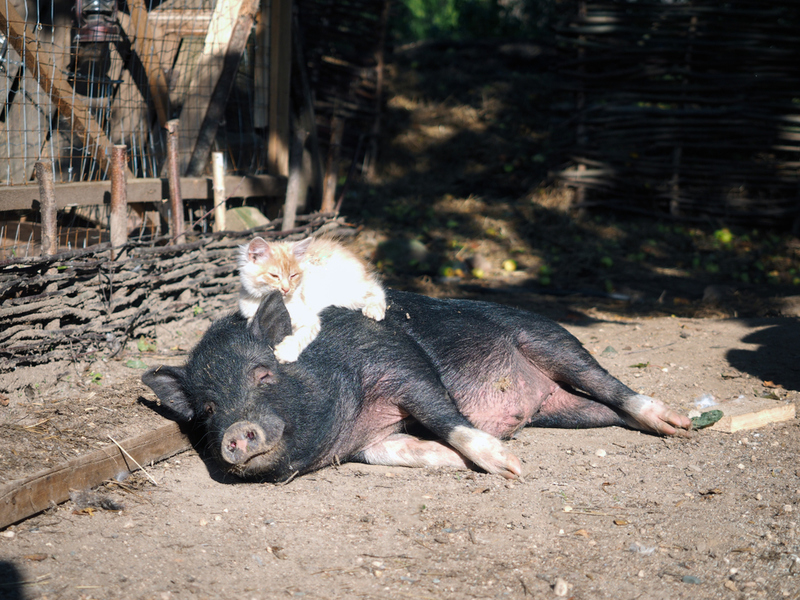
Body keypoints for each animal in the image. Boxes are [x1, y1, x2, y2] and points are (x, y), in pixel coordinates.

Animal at [142, 288, 688, 480]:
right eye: (208, 409)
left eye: (263, 374)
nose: (238, 432)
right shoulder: (371, 442)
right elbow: (404, 451)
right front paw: (460, 462)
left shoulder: (400, 364)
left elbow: (445, 415)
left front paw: (511, 467)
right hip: (566, 410)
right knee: (605, 410)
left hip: (549, 338)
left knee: (608, 382)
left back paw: (678, 424)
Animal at [238, 237, 388, 364]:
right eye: (274, 275)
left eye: (293, 275)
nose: (286, 289)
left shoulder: (309, 319)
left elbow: (300, 337)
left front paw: (286, 352)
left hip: (349, 294)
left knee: (376, 287)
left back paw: (374, 309)